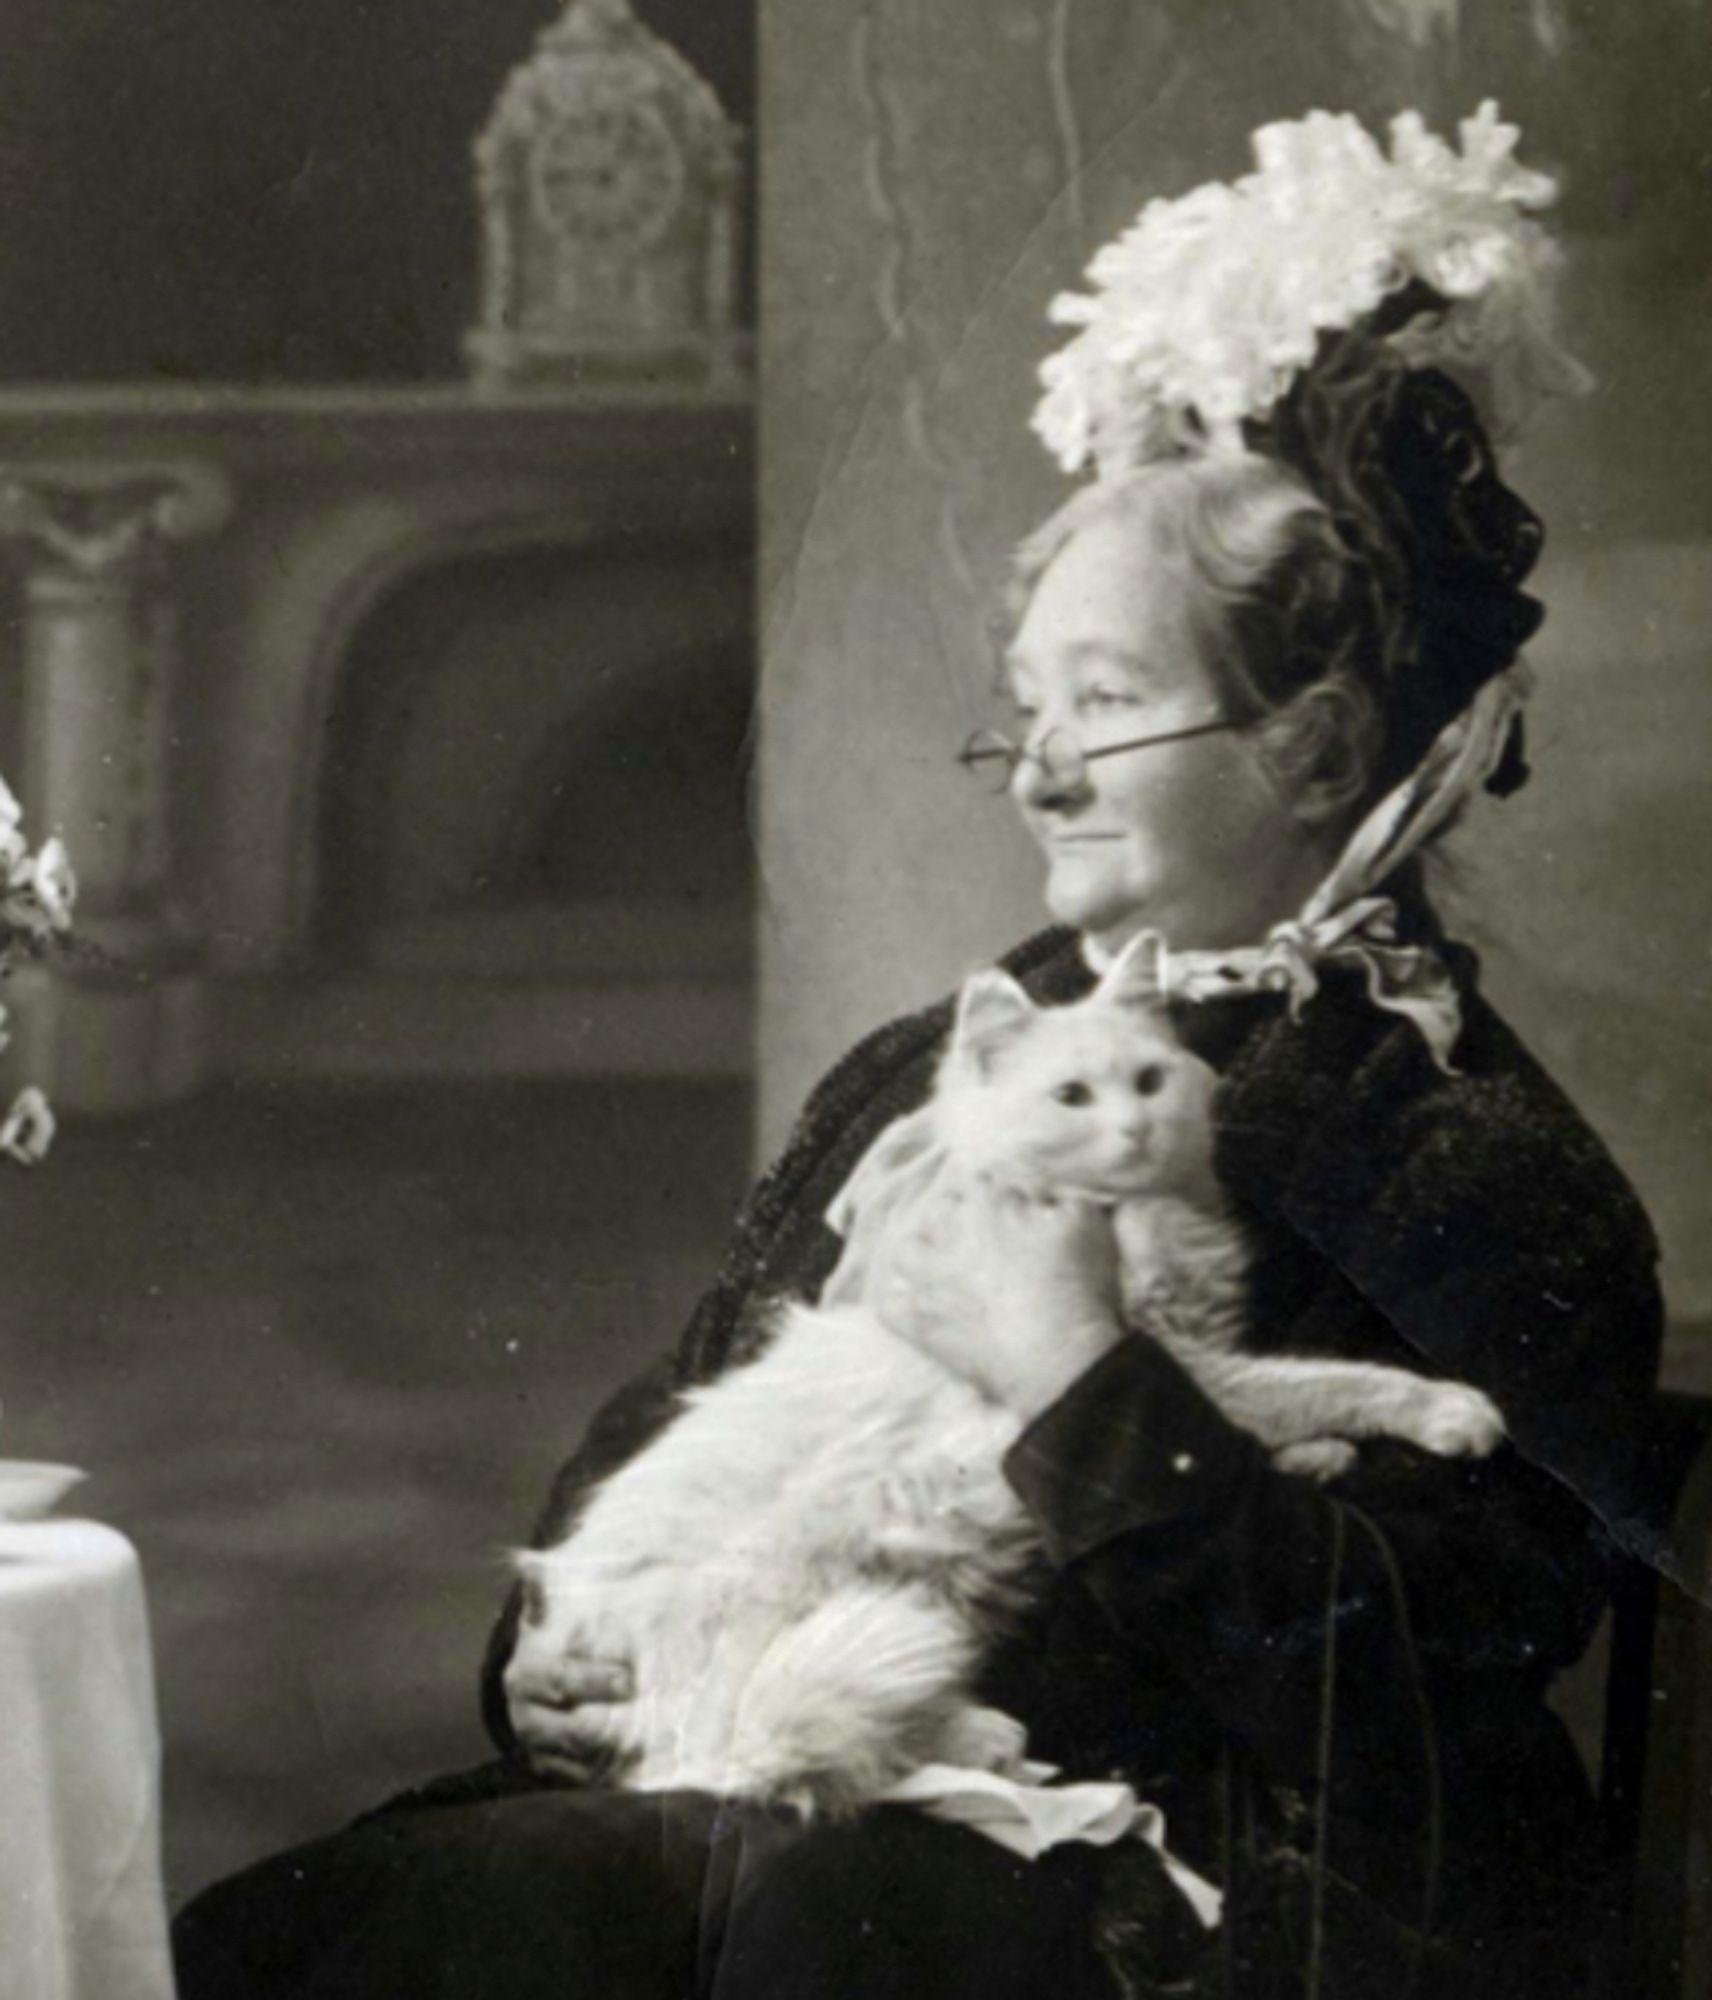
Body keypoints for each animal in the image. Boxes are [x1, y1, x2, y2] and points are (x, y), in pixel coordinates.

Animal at [520, 932, 1496, 1816]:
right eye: (1071, 1097)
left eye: (1150, 1080)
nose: (1135, 1128)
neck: (1136, 1213)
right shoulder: (1186, 1360)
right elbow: (1325, 1384)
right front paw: (1452, 1412)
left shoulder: (1186, 1363)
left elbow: (1240, 1438)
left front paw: (1316, 1460)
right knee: (758, 1753)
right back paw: (980, 1740)